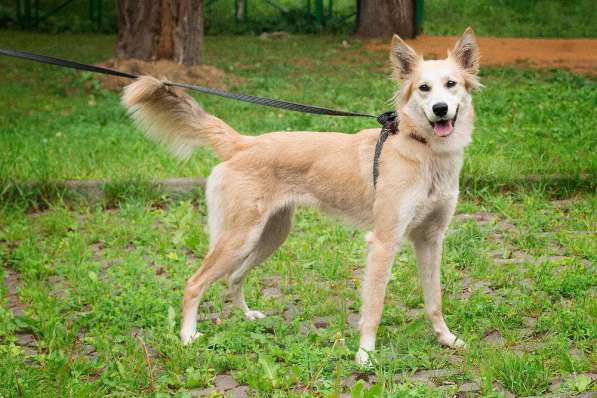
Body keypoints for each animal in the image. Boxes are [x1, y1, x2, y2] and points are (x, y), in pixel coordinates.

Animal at [121, 26, 480, 366]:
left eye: (451, 84)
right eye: (423, 88)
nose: (440, 109)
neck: (425, 151)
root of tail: (245, 143)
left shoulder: (430, 240)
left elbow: (434, 301)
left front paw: (446, 338)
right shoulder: (383, 242)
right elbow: (374, 307)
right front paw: (365, 354)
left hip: (270, 236)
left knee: (234, 277)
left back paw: (247, 316)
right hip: (239, 238)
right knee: (194, 283)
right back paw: (187, 336)